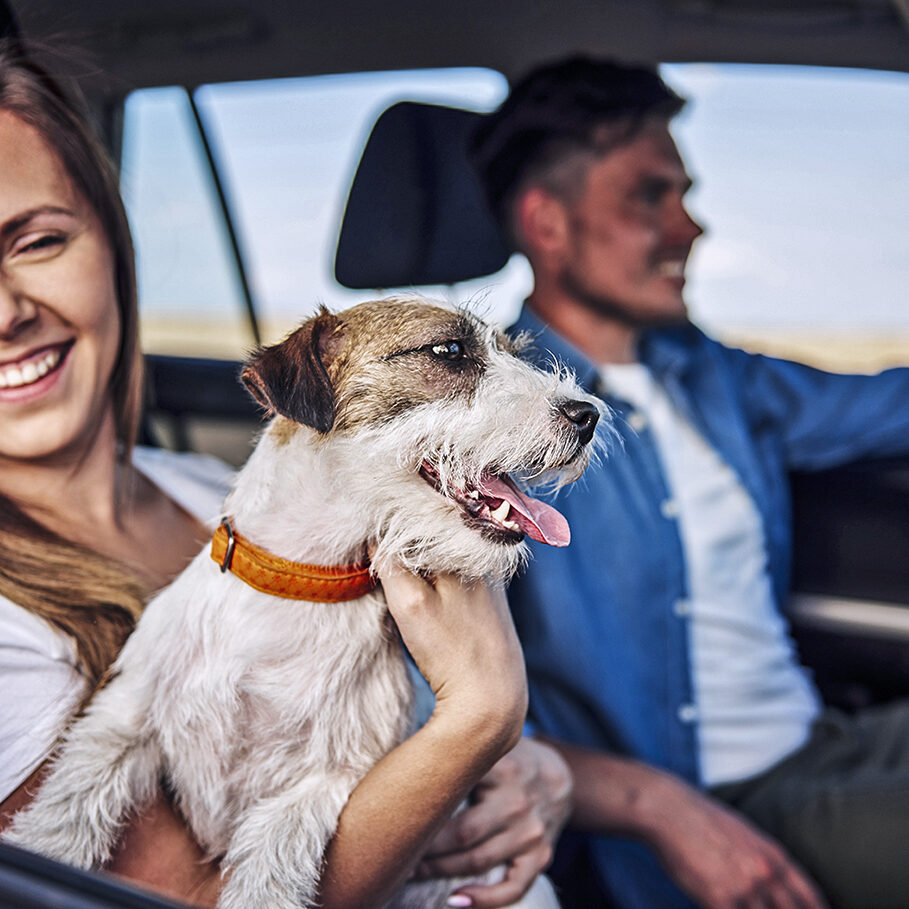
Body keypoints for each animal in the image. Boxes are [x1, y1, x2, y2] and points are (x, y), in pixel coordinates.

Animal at [7, 298, 608, 908]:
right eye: (449, 351)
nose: (588, 414)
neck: (299, 585)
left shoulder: (322, 782)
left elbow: (269, 868)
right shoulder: (124, 717)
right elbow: (71, 802)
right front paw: (46, 846)